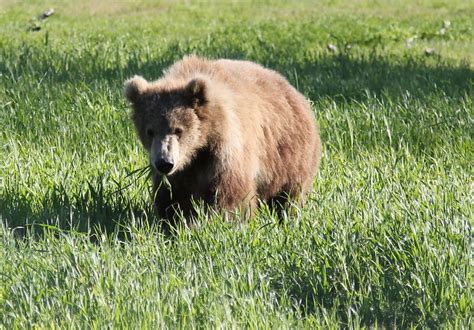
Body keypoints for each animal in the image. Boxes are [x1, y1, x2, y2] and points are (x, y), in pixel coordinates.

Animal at [124, 56, 320, 227]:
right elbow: (173, 195)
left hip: (289, 154)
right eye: (150, 131)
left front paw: (220, 220)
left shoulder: (226, 151)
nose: (165, 162)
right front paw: (174, 221)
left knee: (290, 192)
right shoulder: (181, 170)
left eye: (178, 130)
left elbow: (230, 193)